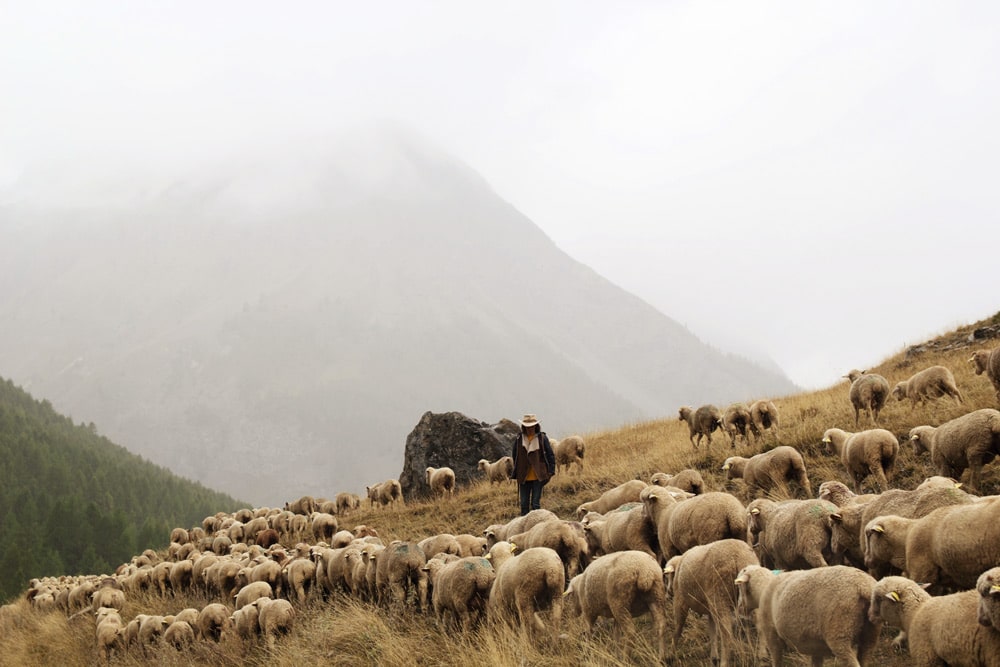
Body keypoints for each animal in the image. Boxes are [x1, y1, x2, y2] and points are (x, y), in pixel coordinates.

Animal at [668, 536, 760, 667]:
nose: (669, 592)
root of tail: (739, 557)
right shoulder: (710, 608)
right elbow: (712, 630)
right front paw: (714, 657)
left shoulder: (680, 601)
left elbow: (678, 628)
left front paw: (670, 655)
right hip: (749, 594)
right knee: (759, 621)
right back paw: (760, 655)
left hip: (720, 595)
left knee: (727, 632)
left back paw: (724, 662)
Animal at [732, 564, 880, 667]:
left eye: (739, 587)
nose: (739, 609)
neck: (763, 589)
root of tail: (863, 587)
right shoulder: (816, 648)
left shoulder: (771, 633)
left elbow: (777, 659)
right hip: (870, 634)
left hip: (840, 632)